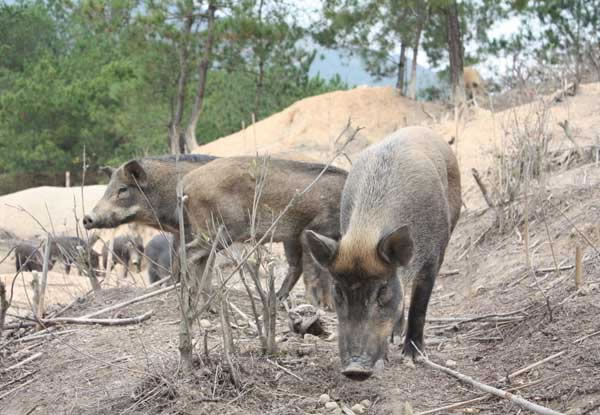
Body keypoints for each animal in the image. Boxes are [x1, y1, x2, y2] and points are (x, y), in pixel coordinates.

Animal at [179, 156, 346, 308]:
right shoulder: (311, 231)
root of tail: (185, 184)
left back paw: (209, 307)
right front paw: (321, 306)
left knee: (204, 261)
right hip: (221, 231)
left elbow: (298, 267)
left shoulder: (293, 237)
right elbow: (316, 270)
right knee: (188, 252)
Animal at [304, 127, 460, 384]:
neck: (366, 233)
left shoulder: (432, 257)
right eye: (338, 290)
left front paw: (413, 358)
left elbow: (419, 306)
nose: (354, 369)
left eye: (382, 290)